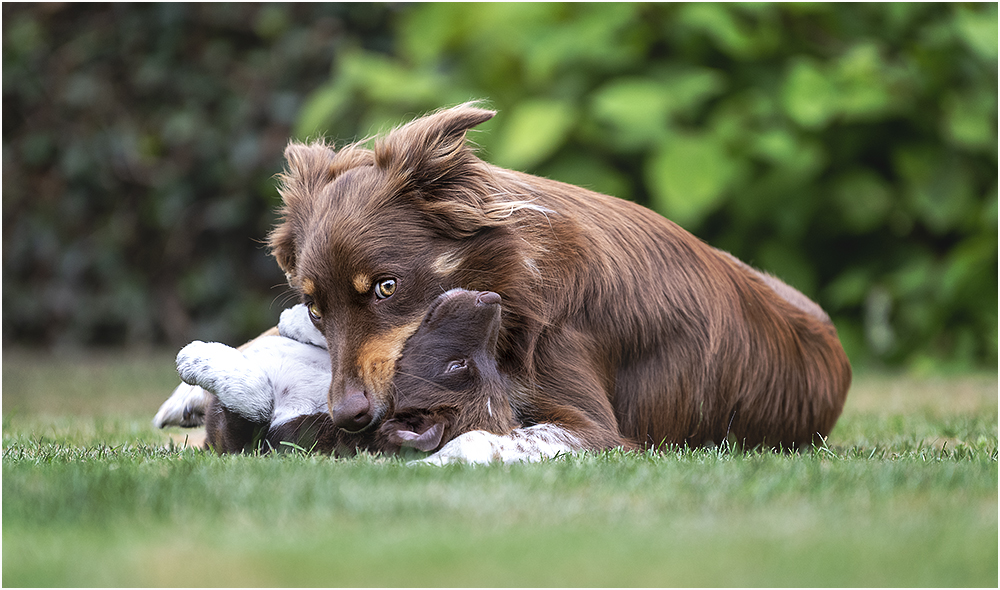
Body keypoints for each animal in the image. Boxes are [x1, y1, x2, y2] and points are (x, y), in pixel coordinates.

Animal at [268, 102, 852, 462]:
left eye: (386, 287)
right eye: (317, 308)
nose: (349, 416)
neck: (517, 283)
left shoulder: (597, 430)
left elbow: (494, 437)